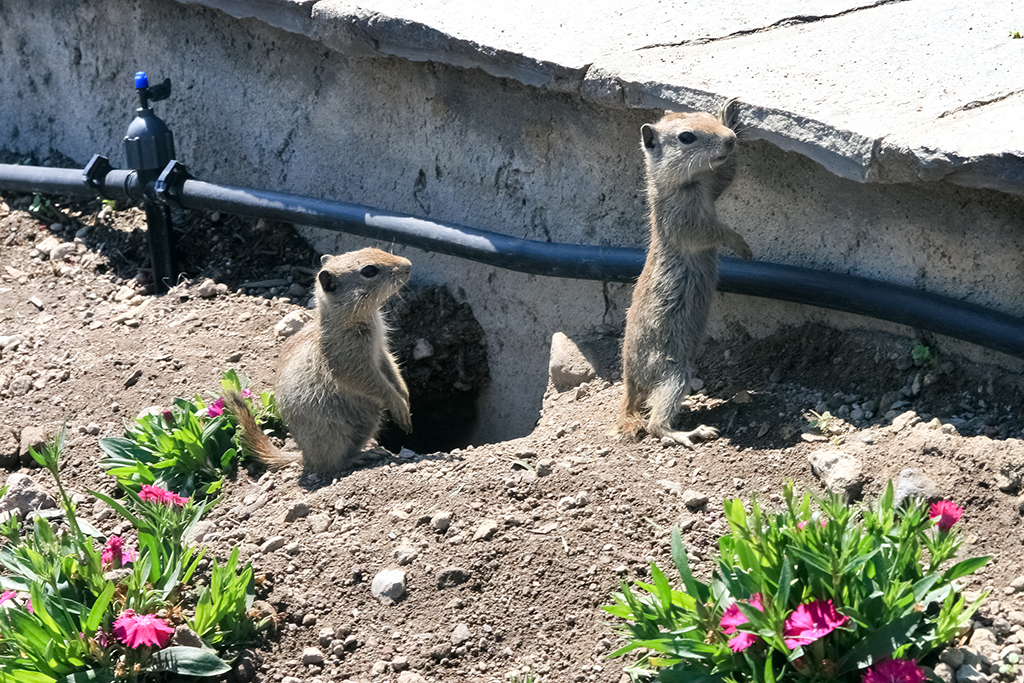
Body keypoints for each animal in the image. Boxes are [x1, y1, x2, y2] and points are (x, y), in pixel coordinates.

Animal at [228, 246, 411, 475]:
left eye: (374, 248)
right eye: (369, 271)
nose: (408, 266)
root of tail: (305, 457)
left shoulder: (380, 350)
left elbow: (391, 369)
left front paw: (405, 395)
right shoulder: (350, 359)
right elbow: (370, 381)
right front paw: (398, 403)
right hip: (332, 434)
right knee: (330, 464)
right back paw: (362, 456)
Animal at [614, 97, 753, 448]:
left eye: (706, 117)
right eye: (686, 137)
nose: (729, 139)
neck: (690, 184)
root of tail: (630, 387)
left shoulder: (712, 184)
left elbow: (728, 171)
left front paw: (729, 113)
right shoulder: (686, 222)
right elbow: (712, 233)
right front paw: (741, 244)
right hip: (673, 374)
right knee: (655, 424)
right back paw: (688, 432)